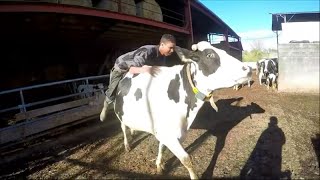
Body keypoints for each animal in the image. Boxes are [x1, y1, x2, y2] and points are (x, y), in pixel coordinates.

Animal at [100, 41, 252, 179]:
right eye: (210, 55)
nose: (248, 68)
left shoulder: (165, 131)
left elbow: (162, 147)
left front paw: (159, 164)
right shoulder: (169, 134)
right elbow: (186, 159)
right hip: (120, 111)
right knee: (122, 126)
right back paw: (124, 141)